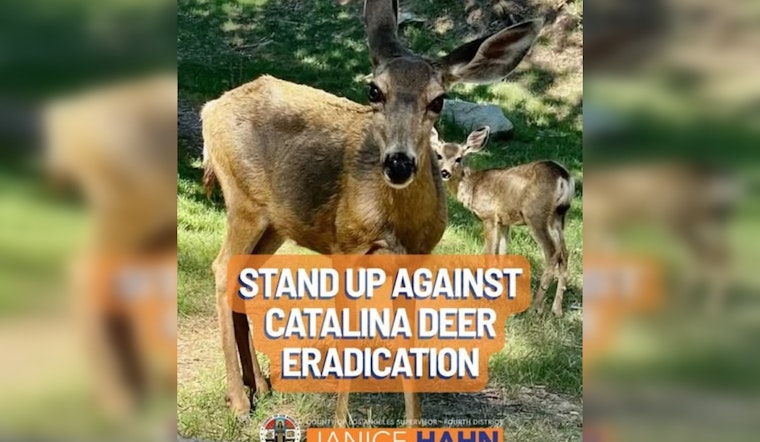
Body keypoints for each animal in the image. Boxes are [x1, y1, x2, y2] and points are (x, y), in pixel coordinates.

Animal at [201, 0, 543, 426]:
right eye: (374, 90)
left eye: (439, 100)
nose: (398, 163)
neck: (396, 224)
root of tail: (210, 108)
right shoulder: (346, 247)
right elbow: (348, 342)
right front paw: (337, 425)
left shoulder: (415, 260)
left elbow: (409, 343)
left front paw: (413, 424)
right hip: (243, 202)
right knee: (221, 268)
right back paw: (239, 400)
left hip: (275, 222)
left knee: (241, 275)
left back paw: (260, 385)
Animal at [431, 126, 575, 316]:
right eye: (439, 155)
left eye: (459, 158)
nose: (444, 172)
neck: (472, 186)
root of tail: (564, 177)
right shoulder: (504, 221)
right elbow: (503, 253)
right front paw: (501, 291)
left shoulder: (489, 216)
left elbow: (489, 252)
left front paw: (485, 293)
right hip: (558, 217)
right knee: (564, 253)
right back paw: (556, 309)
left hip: (536, 214)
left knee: (552, 252)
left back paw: (534, 307)